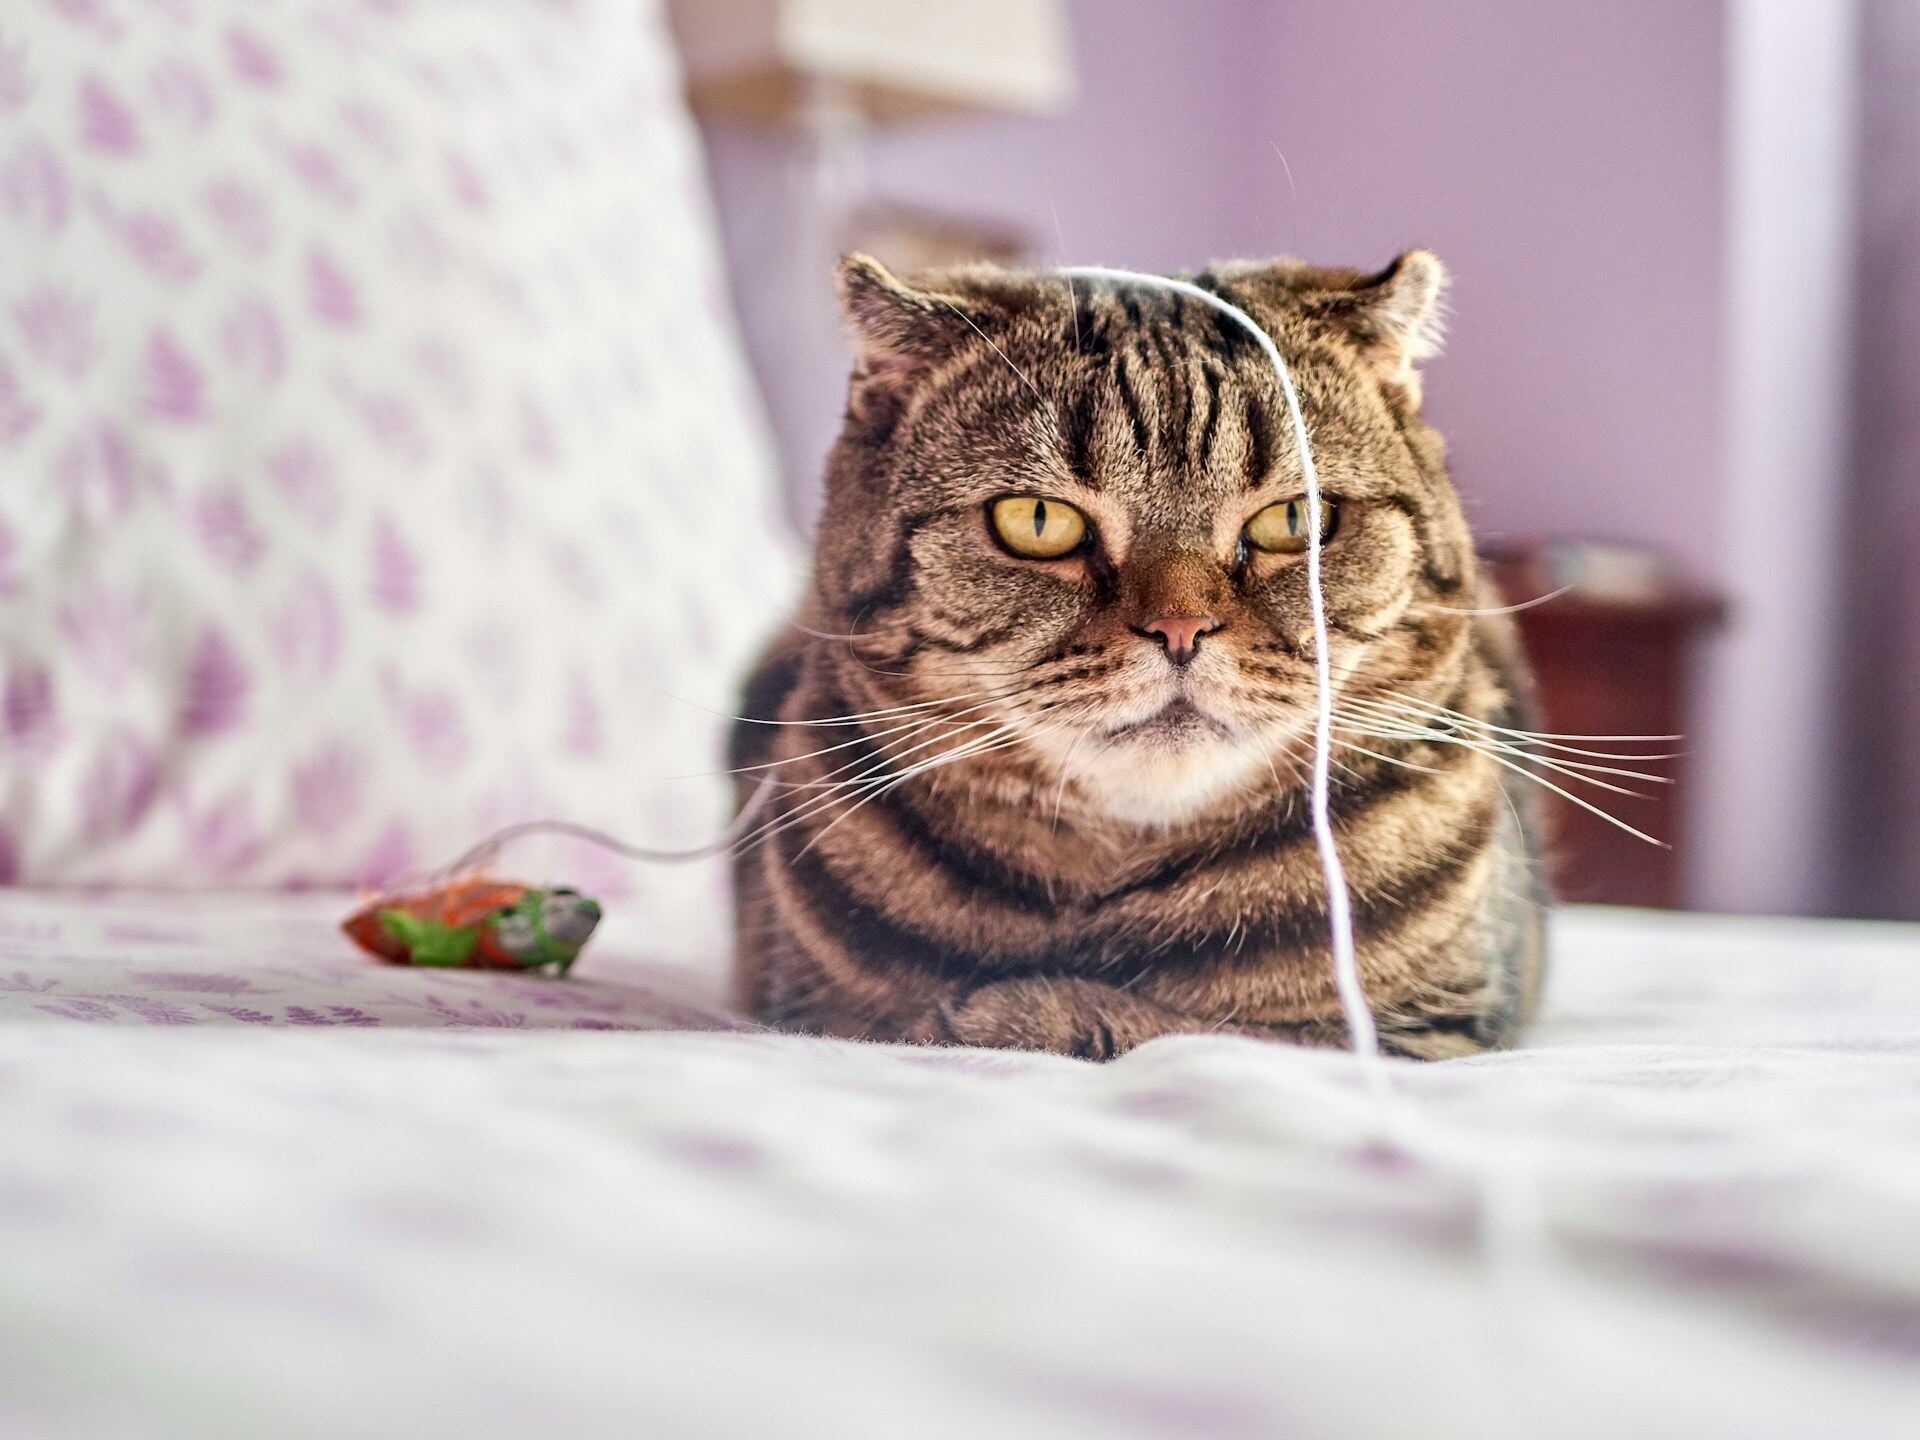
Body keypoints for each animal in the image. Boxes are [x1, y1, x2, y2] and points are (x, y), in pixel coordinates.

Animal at [725, 251, 1551, 1059]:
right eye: (1036, 521)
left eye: (1294, 518)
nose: (1180, 627)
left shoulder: (1432, 1033)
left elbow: (1221, 1031)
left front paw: (1021, 1012)